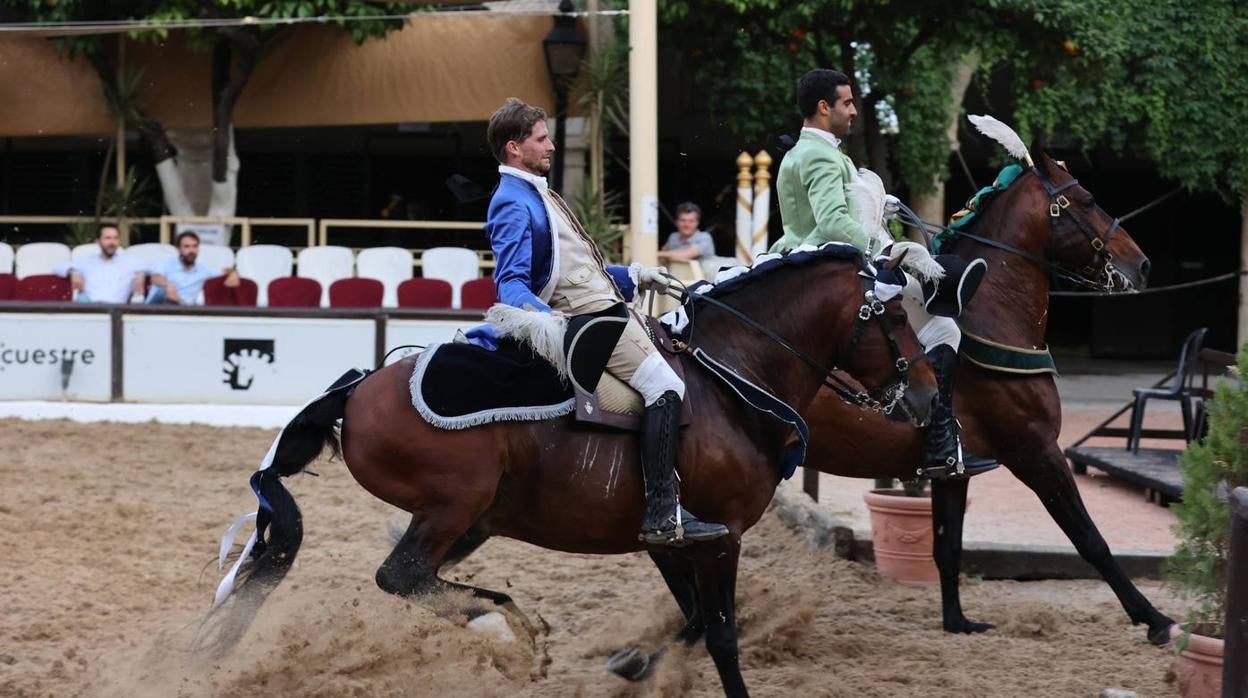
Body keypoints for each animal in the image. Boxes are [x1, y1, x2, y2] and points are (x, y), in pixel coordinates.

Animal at [207, 248, 938, 694]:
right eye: (894, 316)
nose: (931, 398)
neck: (728, 379)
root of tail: (357, 389)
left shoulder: (672, 539)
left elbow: (692, 621)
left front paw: (634, 663)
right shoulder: (721, 537)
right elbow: (723, 636)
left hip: (469, 519)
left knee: (413, 578)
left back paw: (512, 626)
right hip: (453, 508)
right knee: (402, 575)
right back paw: (505, 627)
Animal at [798, 152, 1168, 644]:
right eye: (1088, 200)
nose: (1143, 265)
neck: (992, 314)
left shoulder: (956, 470)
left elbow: (947, 545)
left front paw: (957, 622)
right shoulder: (1036, 450)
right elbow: (1090, 539)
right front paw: (1154, 618)